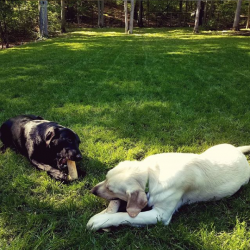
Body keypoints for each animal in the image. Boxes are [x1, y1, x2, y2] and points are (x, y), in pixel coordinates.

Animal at [87, 145, 250, 230]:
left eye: (110, 189)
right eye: (105, 178)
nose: (92, 190)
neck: (151, 174)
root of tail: (237, 150)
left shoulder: (160, 215)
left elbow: (126, 215)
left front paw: (100, 220)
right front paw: (105, 213)